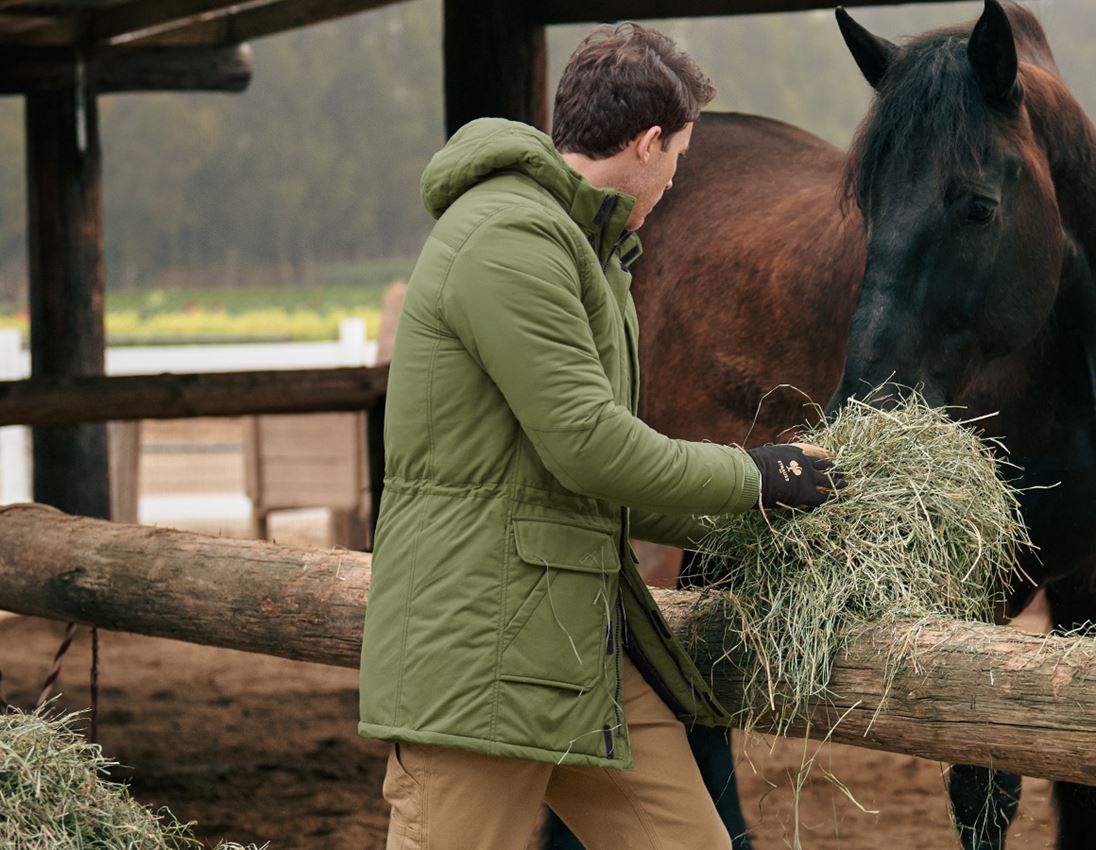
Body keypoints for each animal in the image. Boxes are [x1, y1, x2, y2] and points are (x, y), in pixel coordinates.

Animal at [635, 1, 1096, 850]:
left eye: (977, 206)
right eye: (868, 206)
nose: (870, 401)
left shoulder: (1090, 585)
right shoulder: (979, 601)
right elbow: (983, 786)